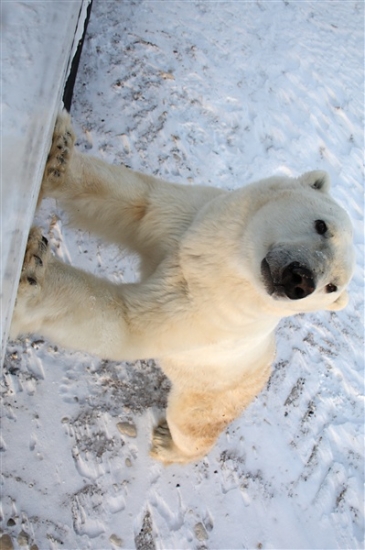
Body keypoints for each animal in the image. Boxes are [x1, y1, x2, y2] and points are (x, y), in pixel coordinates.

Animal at [9, 112, 354, 466]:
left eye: (331, 286)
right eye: (322, 225)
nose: (302, 281)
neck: (227, 261)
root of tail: (264, 374)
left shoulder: (210, 310)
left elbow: (127, 322)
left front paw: (33, 266)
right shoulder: (193, 217)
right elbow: (137, 204)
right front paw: (59, 151)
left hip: (213, 394)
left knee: (191, 426)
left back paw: (166, 443)